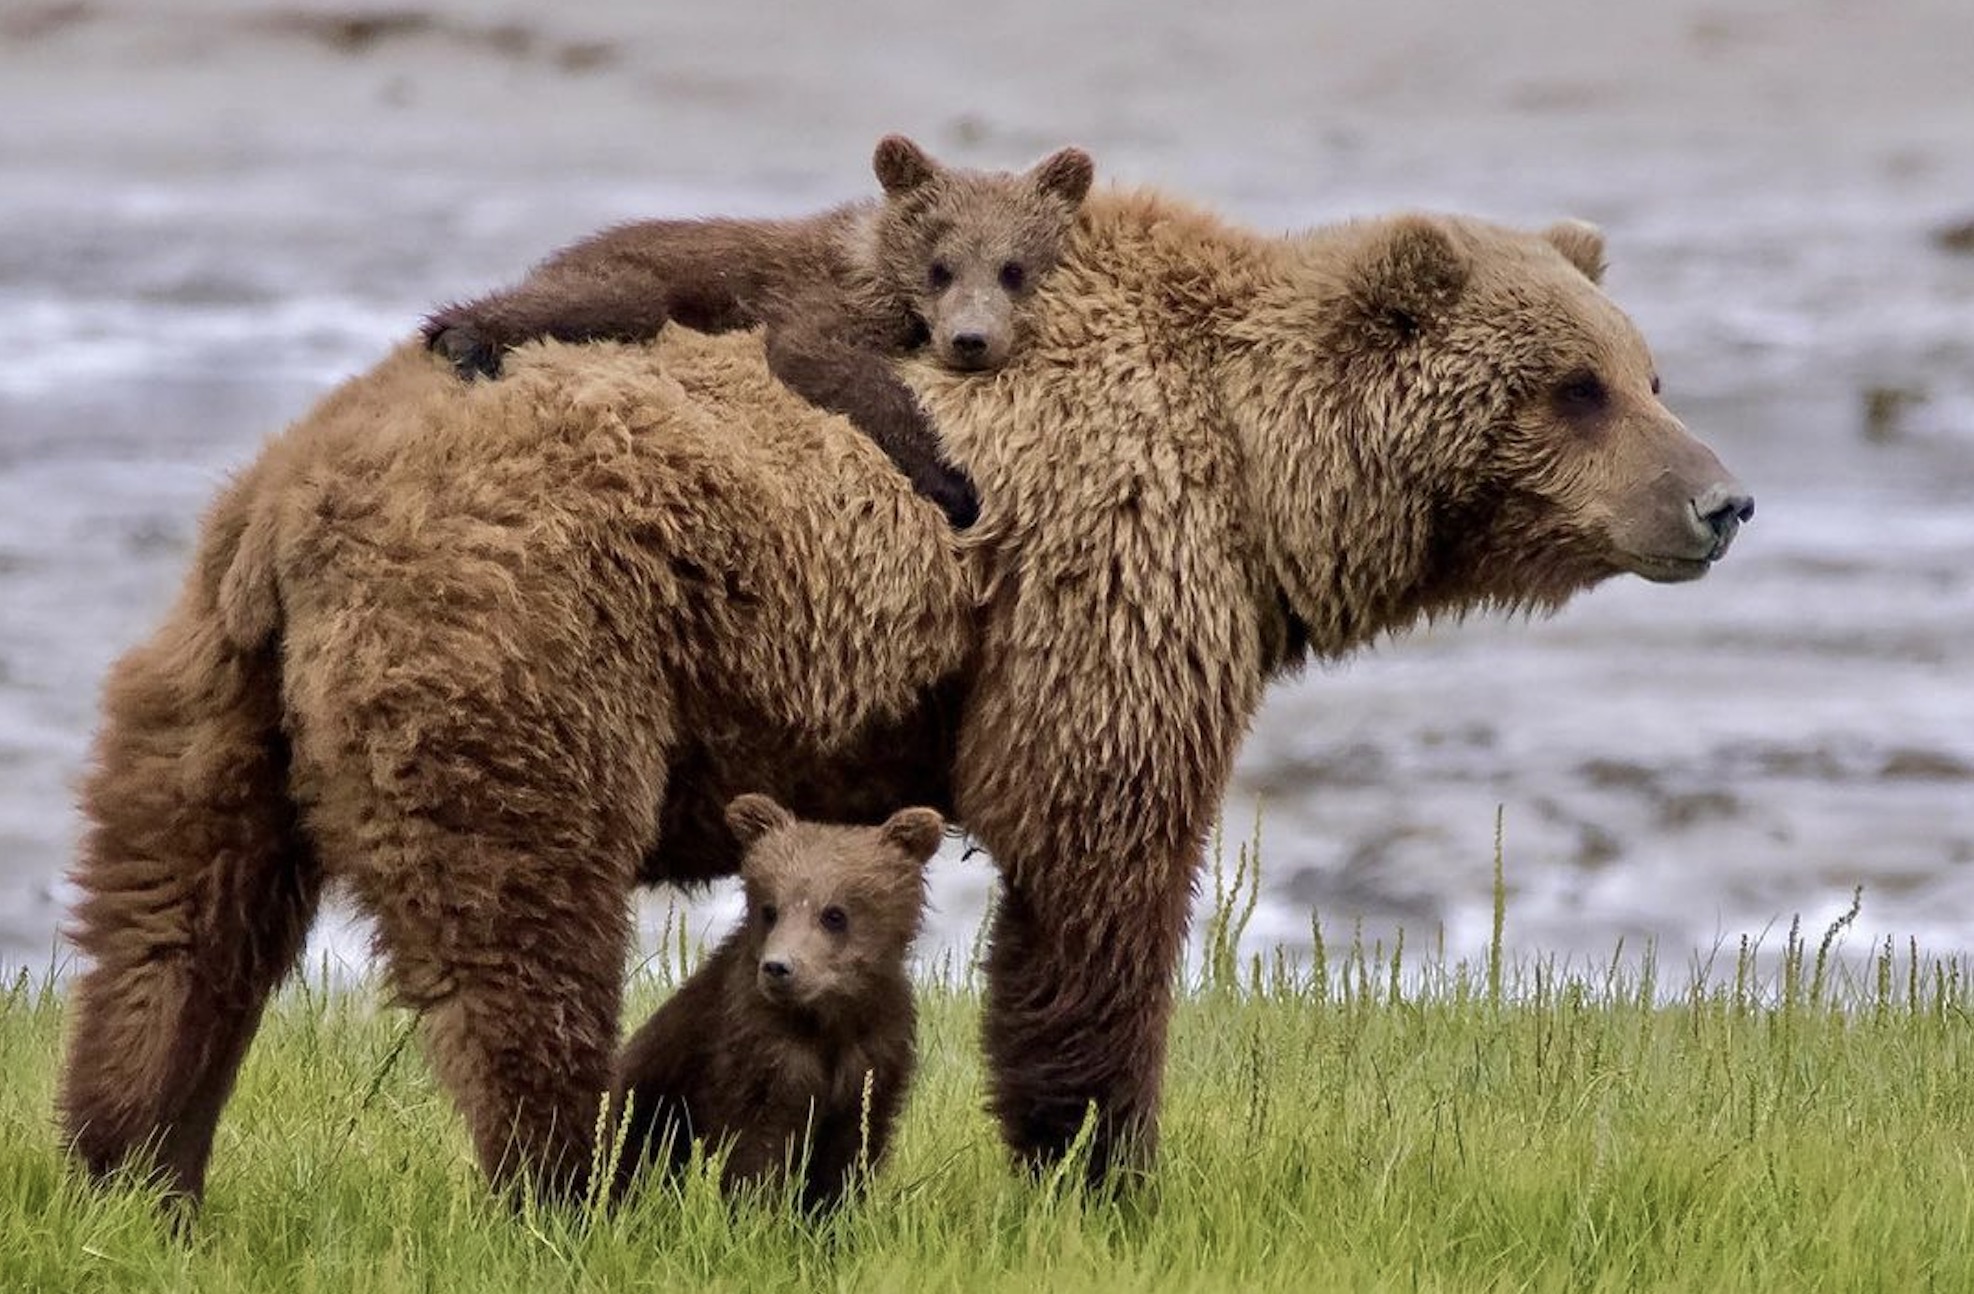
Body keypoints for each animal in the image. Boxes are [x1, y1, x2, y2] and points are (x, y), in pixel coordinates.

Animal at [421, 134, 1096, 529]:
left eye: (1014, 269)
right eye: (940, 267)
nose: (971, 340)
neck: (874, 265)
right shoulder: (819, 295)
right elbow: (824, 357)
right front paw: (956, 485)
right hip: (636, 273)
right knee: (609, 299)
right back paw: (462, 339)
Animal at [612, 794, 941, 1213]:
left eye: (834, 914)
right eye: (770, 909)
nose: (778, 967)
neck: (826, 1020)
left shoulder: (875, 1051)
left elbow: (854, 1145)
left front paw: (833, 1212)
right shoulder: (759, 1049)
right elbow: (757, 1146)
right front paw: (758, 1211)